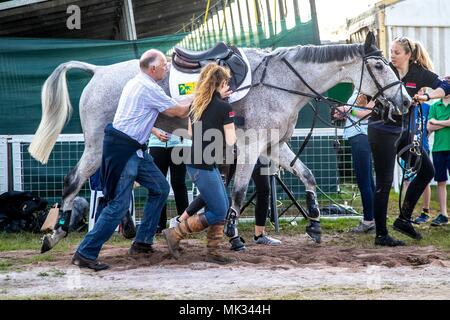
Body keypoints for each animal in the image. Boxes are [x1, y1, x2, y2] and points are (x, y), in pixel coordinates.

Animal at [30, 33, 412, 252]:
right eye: (379, 65)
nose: (407, 102)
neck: (282, 81)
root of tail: (98, 71)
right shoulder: (252, 147)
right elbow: (240, 192)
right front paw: (233, 234)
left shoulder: (275, 146)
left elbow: (307, 175)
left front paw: (315, 222)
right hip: (98, 144)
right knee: (74, 181)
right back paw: (56, 234)